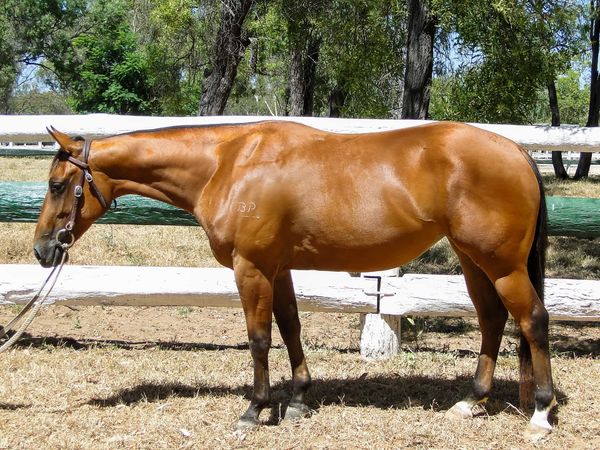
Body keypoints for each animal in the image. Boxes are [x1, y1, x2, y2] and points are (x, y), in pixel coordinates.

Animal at [33, 120, 556, 441]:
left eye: (58, 185)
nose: (42, 250)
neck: (228, 165)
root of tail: (516, 149)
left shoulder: (250, 268)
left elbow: (260, 339)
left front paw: (255, 409)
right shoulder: (277, 268)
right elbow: (290, 327)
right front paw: (300, 398)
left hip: (502, 265)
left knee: (532, 320)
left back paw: (540, 414)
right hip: (473, 261)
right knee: (492, 320)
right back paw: (470, 401)